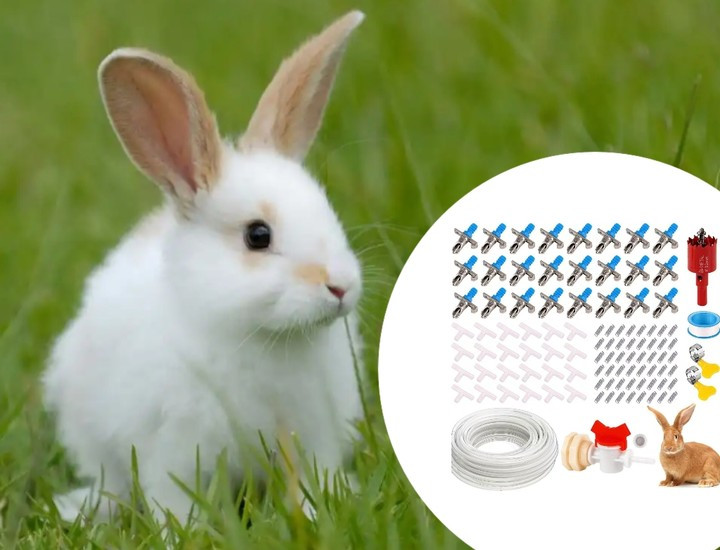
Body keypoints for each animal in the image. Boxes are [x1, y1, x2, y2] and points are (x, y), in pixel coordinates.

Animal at [43, 11, 366, 522]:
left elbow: (312, 478)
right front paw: (184, 530)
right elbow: (173, 496)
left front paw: (321, 512)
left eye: (328, 210)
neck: (260, 336)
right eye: (258, 236)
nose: (340, 287)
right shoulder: (172, 444)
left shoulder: (313, 432)